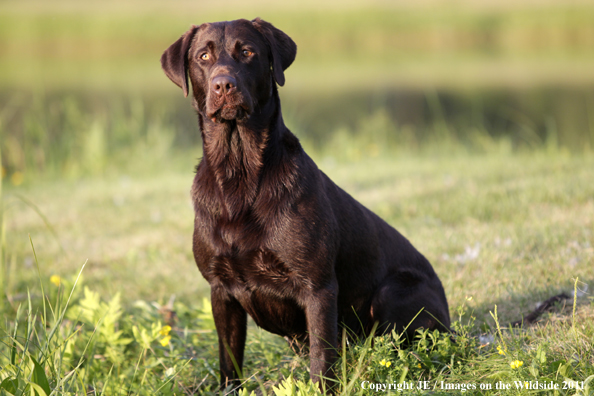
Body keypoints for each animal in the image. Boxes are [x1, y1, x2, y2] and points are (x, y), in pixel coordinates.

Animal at [160, 17, 446, 390]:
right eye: (203, 56)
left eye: (247, 52)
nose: (224, 85)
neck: (239, 173)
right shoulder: (220, 289)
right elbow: (228, 361)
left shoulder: (318, 288)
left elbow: (321, 359)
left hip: (393, 291)